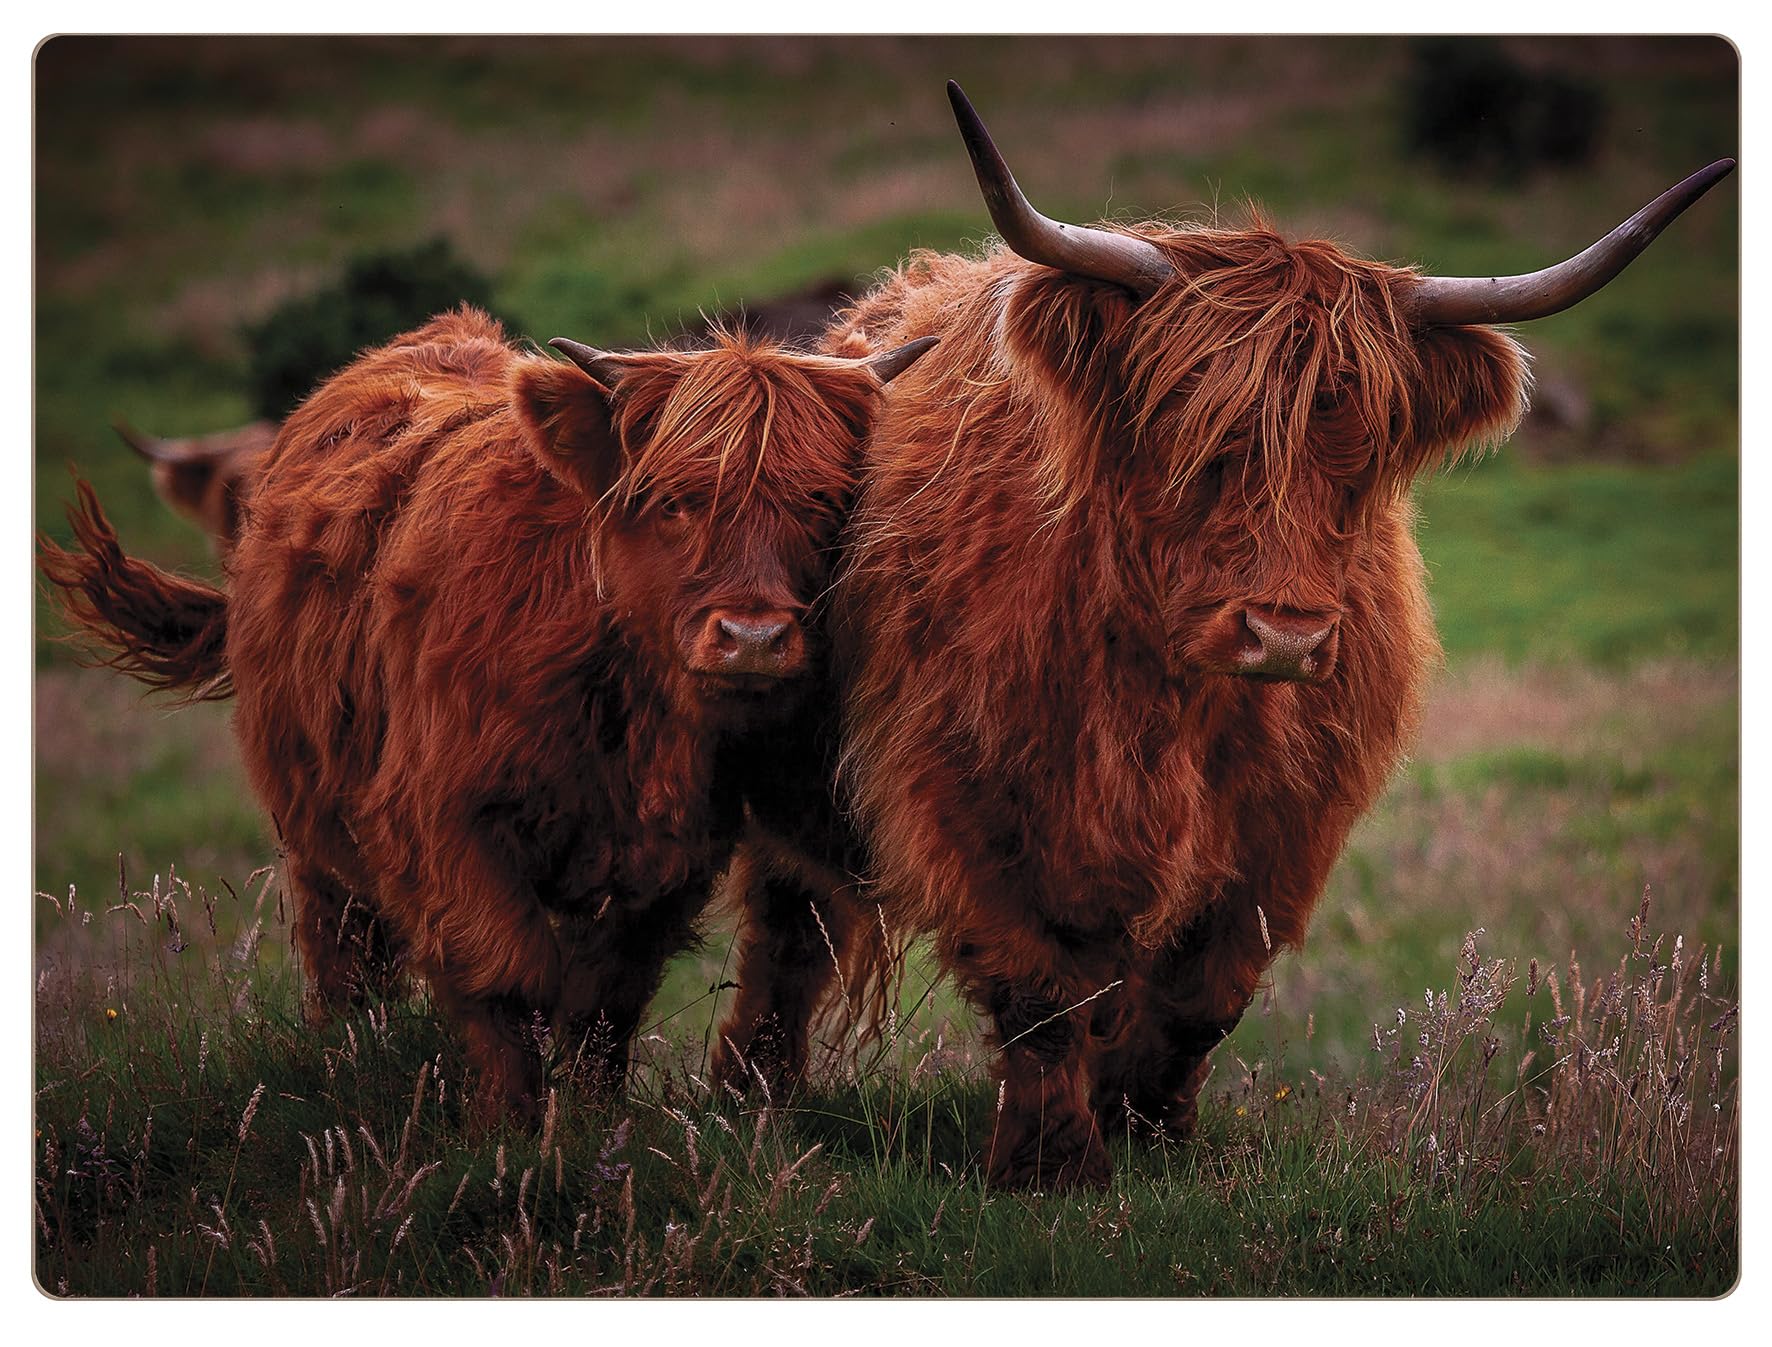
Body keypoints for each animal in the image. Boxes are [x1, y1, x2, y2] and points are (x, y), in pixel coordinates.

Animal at [40, 306, 935, 1121]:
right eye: (674, 502)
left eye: (821, 504)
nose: (754, 637)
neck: (618, 702)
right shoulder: (442, 824)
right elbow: (508, 979)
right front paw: (509, 1128)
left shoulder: (667, 859)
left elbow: (605, 1002)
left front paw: (592, 1123)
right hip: (311, 821)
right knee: (344, 953)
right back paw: (344, 1056)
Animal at [715, 84, 1732, 1188]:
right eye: (1195, 438)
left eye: (1363, 457)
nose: (1283, 632)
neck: (1173, 698)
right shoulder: (968, 794)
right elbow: (1039, 988)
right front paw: (1053, 1163)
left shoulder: (1284, 830)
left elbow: (1203, 996)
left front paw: (1151, 1135)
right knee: (784, 935)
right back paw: (749, 1100)